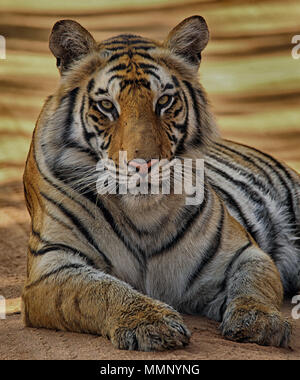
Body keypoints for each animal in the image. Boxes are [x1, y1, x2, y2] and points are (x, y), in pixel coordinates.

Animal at [22, 16, 300, 352]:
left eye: (164, 101)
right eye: (106, 106)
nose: (143, 165)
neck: (142, 216)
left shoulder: (243, 253)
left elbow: (253, 285)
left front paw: (260, 321)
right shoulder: (52, 264)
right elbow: (100, 291)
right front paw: (149, 322)